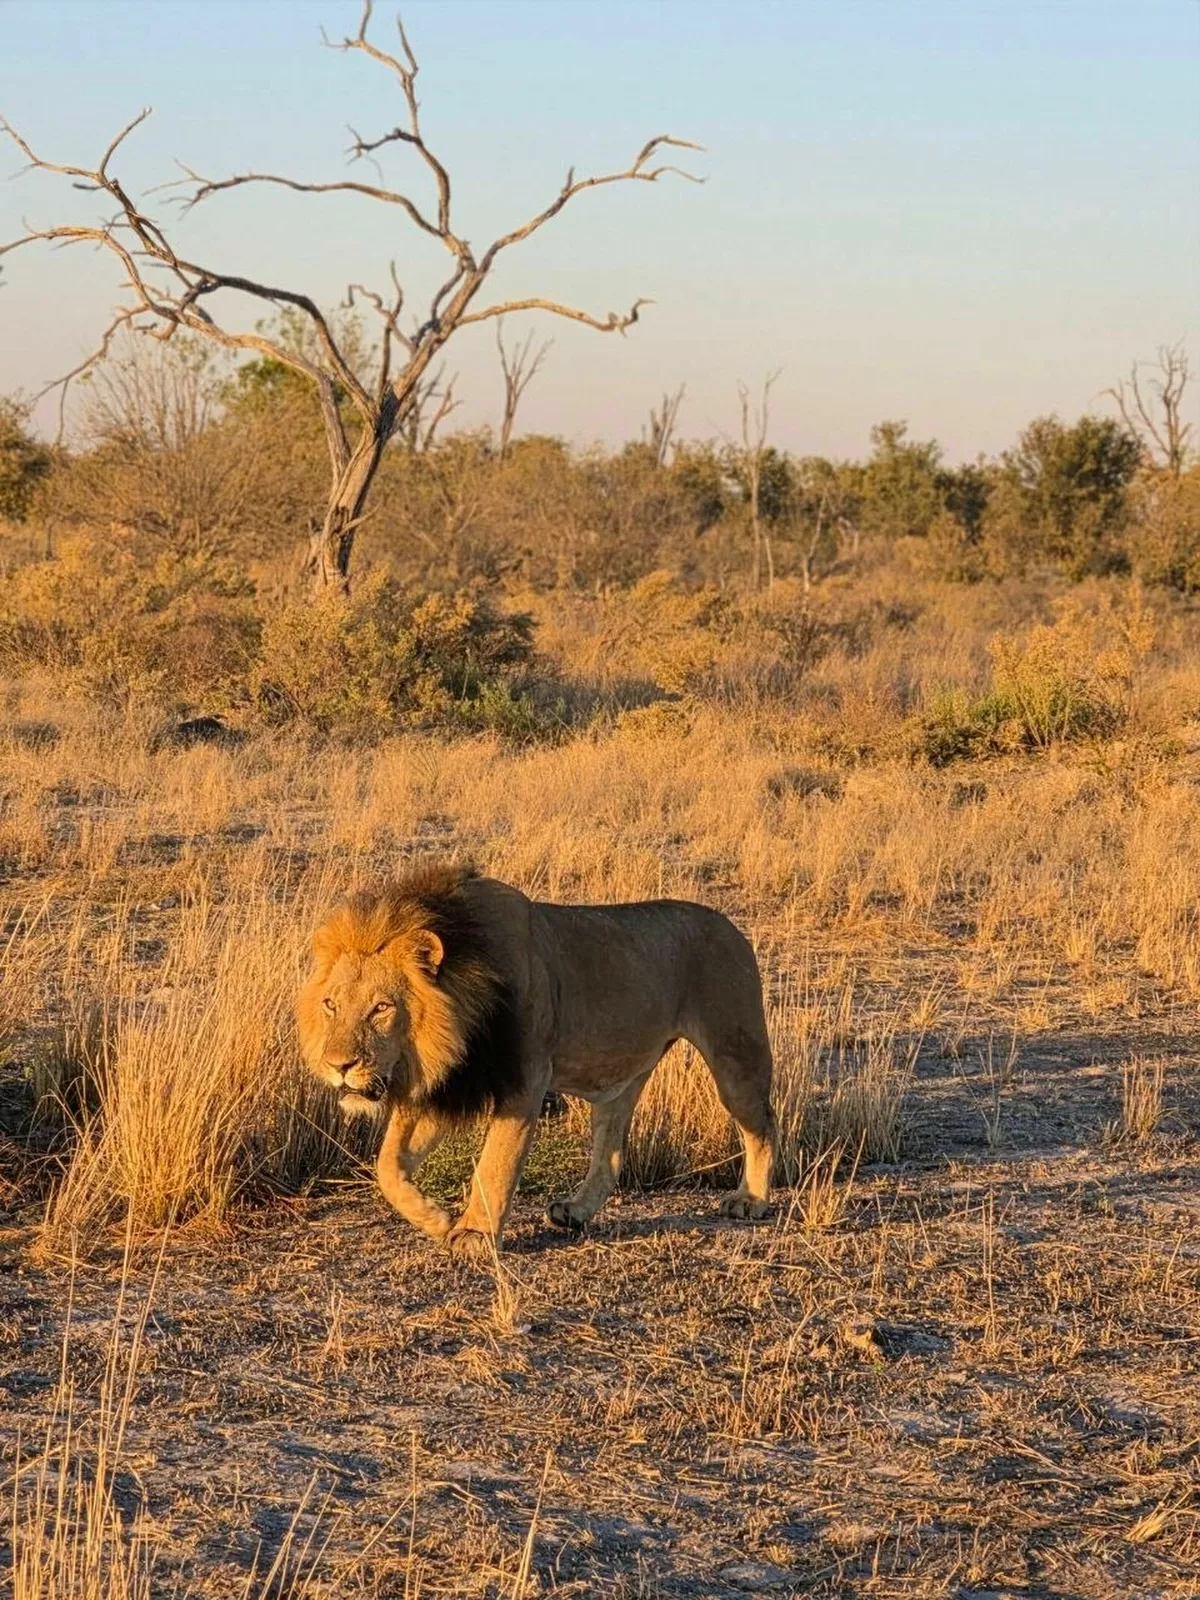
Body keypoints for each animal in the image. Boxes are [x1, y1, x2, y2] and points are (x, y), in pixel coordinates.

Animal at [296, 864, 775, 1257]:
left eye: (381, 1008)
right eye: (330, 1004)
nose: (338, 1065)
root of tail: (729, 924)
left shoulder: (524, 1080)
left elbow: (496, 1163)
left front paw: (473, 1234)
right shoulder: (453, 1082)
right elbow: (387, 1165)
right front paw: (437, 1219)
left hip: (736, 1055)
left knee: (762, 1126)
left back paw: (749, 1200)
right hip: (621, 1080)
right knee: (610, 1155)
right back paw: (576, 1210)